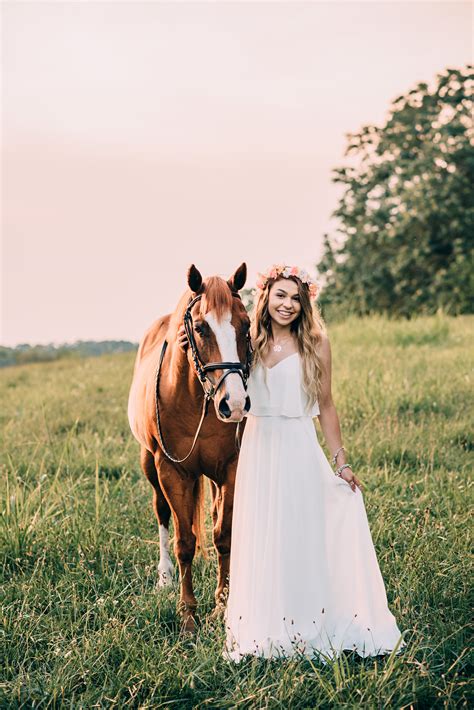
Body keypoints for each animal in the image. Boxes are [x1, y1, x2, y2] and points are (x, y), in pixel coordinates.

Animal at [126, 262, 252, 636]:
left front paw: (222, 606)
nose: (234, 404)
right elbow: (184, 542)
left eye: (246, 324)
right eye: (199, 328)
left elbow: (223, 535)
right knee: (162, 514)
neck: (197, 399)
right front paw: (188, 616)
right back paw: (165, 576)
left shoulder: (230, 469)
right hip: (150, 467)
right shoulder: (173, 472)